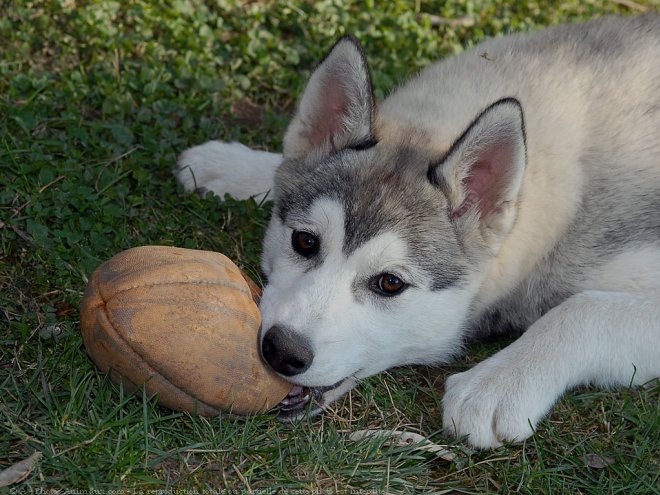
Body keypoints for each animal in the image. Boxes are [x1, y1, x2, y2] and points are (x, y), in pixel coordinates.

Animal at [175, 15, 660, 450]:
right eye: (304, 242)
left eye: (390, 283)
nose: (282, 351)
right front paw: (232, 165)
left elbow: (585, 307)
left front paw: (498, 383)